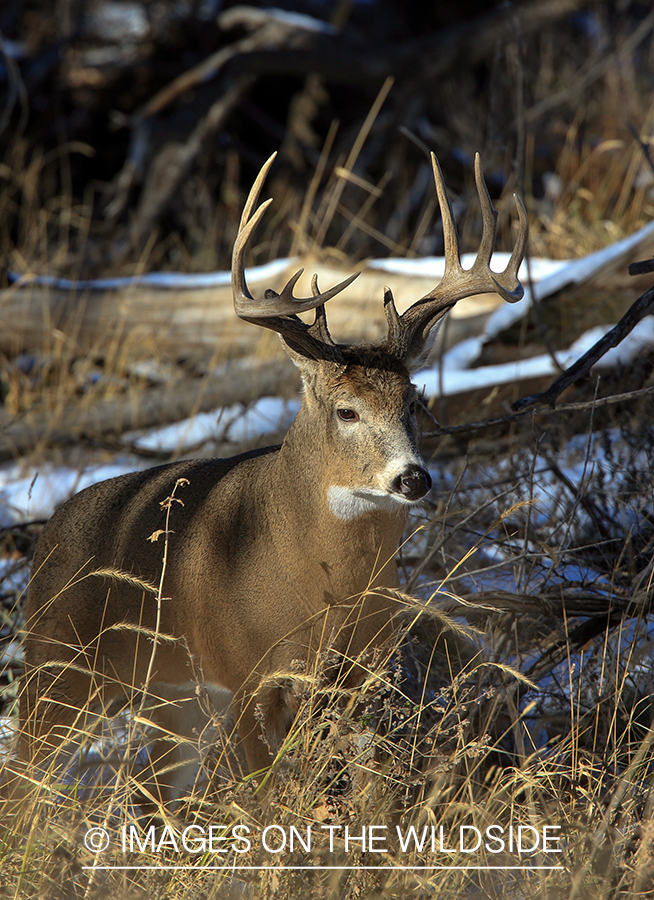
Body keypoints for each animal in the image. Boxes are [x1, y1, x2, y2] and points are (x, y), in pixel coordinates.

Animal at [19, 151, 528, 800]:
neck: (318, 588)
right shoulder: (243, 674)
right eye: (346, 411)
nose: (413, 479)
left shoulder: (361, 671)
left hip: (174, 702)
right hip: (56, 670)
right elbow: (264, 796)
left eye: (413, 401)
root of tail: (47, 536)